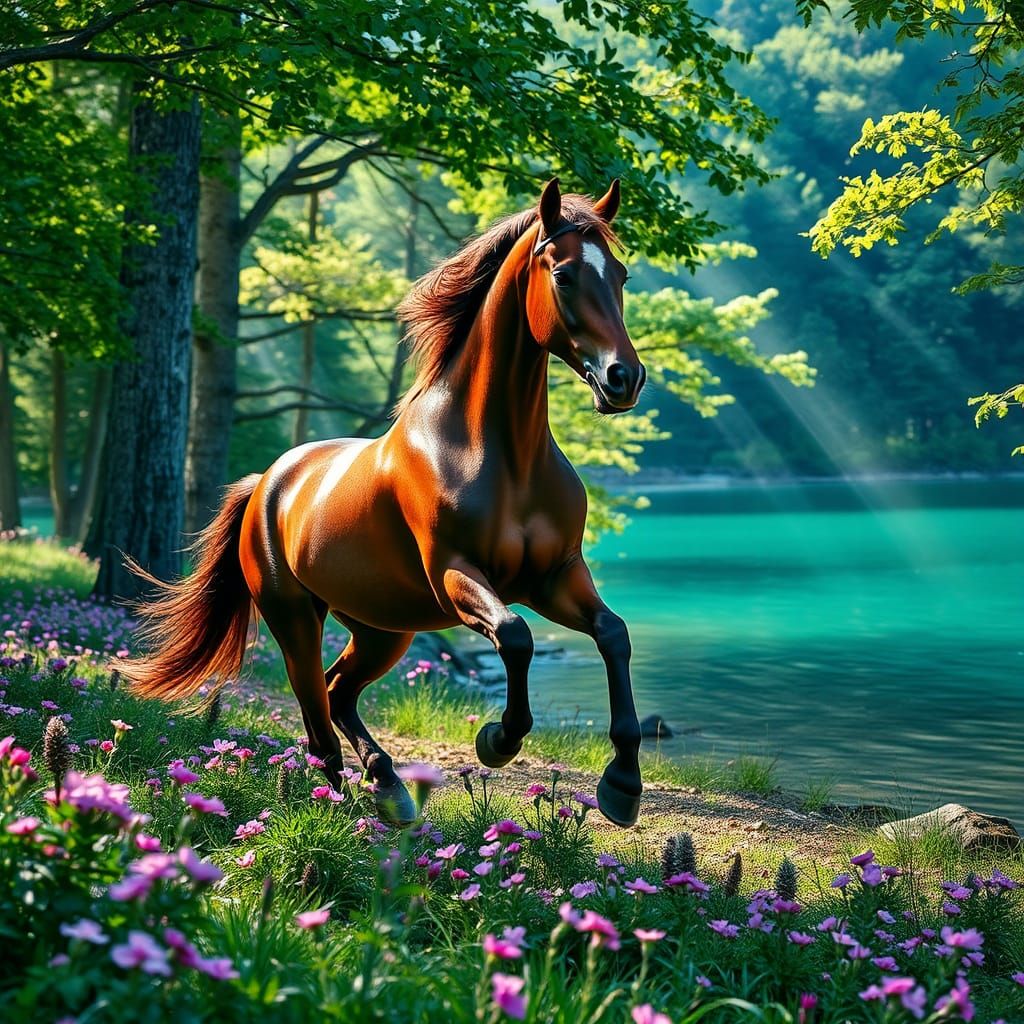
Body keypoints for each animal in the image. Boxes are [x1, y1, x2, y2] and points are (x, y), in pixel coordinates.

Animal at [121, 178, 648, 827]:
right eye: (565, 274)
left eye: (621, 274)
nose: (624, 378)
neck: (501, 456)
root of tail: (265, 483)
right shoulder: (456, 576)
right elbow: (516, 636)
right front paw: (497, 740)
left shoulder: (556, 576)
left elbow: (613, 634)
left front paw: (622, 784)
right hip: (295, 617)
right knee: (317, 716)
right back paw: (342, 804)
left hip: (380, 629)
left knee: (338, 692)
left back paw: (388, 785)